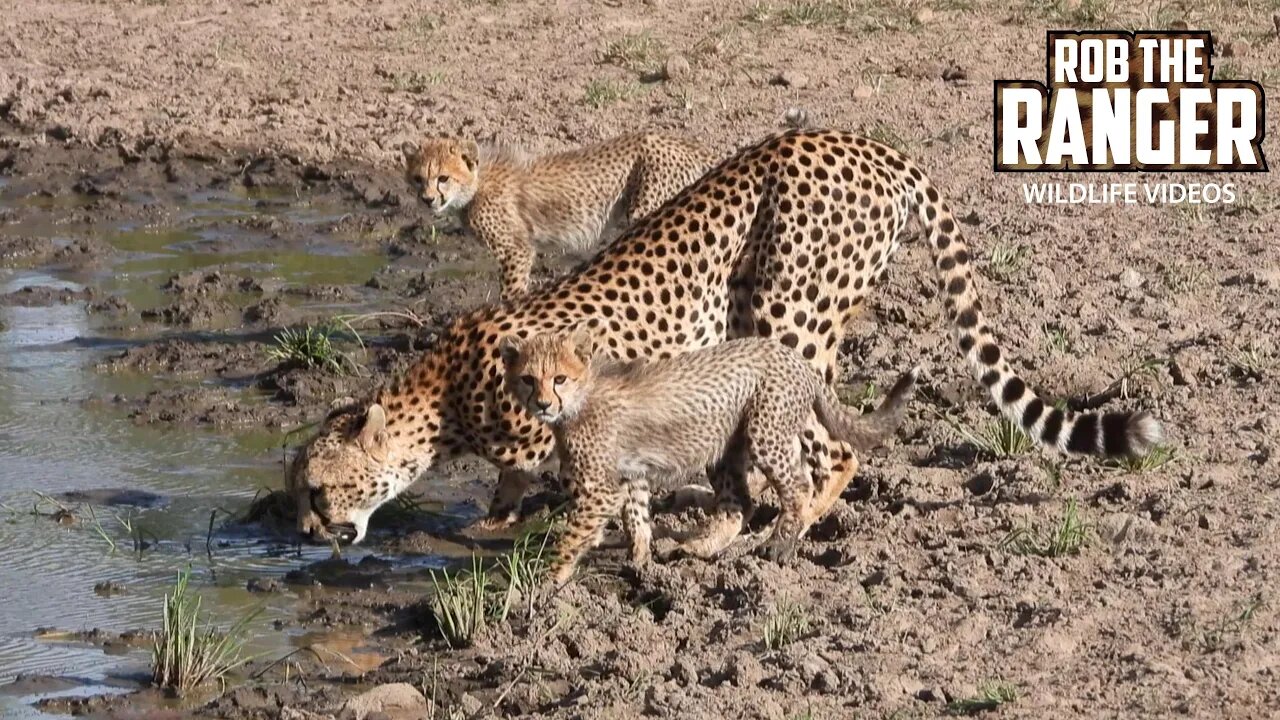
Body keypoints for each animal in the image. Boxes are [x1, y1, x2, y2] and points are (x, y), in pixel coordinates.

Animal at [403, 133, 717, 301]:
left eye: (443, 178)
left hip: (647, 210)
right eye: (418, 179)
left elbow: (511, 291)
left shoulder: (515, 249)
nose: (427, 199)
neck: (476, 183)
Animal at [499, 326, 919, 583]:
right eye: (527, 379)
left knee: (797, 486)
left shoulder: (600, 489)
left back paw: (778, 545)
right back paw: (697, 548)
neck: (581, 396)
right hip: (727, 448)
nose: (542, 404)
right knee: (739, 505)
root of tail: (792, 356)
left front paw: (546, 580)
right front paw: (641, 563)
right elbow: (637, 519)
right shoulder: (630, 474)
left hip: (764, 432)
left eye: (559, 379)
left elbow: (573, 535)